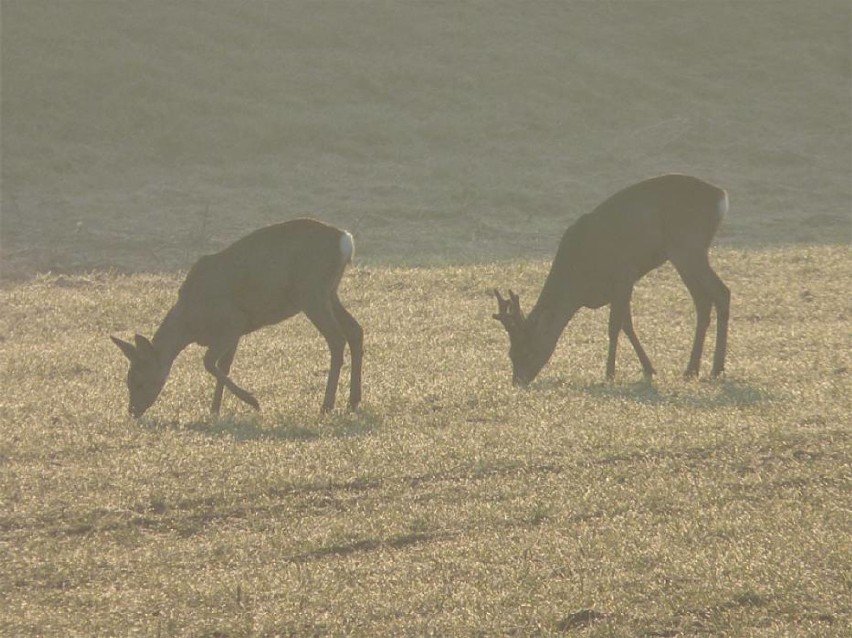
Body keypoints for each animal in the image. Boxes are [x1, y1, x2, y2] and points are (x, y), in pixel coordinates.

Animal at [108, 220, 362, 420]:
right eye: (127, 380)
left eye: (138, 380)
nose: (133, 411)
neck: (191, 321)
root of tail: (346, 241)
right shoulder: (235, 332)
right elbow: (224, 365)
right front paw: (215, 410)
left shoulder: (233, 321)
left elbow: (209, 362)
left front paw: (252, 401)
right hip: (329, 292)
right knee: (355, 330)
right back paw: (353, 401)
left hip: (312, 292)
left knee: (336, 339)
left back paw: (327, 405)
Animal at [496, 172, 728, 388]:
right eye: (510, 352)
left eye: (527, 350)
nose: (518, 381)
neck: (579, 281)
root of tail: (721, 196)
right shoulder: (619, 285)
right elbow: (627, 324)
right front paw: (649, 368)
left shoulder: (624, 273)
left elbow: (614, 325)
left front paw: (609, 374)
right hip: (684, 252)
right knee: (703, 301)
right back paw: (692, 370)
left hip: (687, 245)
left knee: (722, 292)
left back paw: (715, 369)